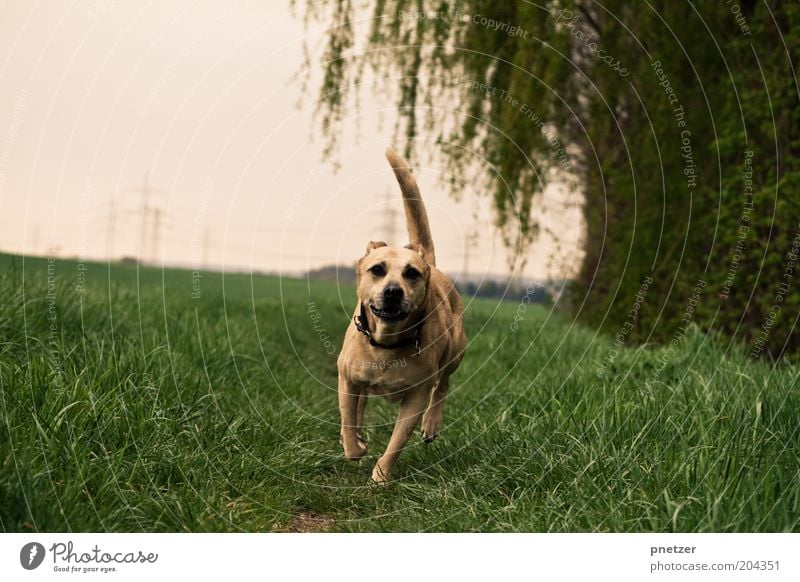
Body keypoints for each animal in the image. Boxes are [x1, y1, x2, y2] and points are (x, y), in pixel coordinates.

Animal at [334, 149, 466, 484]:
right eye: (377, 269)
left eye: (412, 274)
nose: (393, 291)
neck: (386, 342)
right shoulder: (347, 379)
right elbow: (348, 419)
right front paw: (355, 446)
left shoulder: (416, 396)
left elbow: (397, 440)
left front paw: (381, 476)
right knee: (360, 405)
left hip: (456, 349)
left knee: (443, 384)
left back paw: (432, 423)